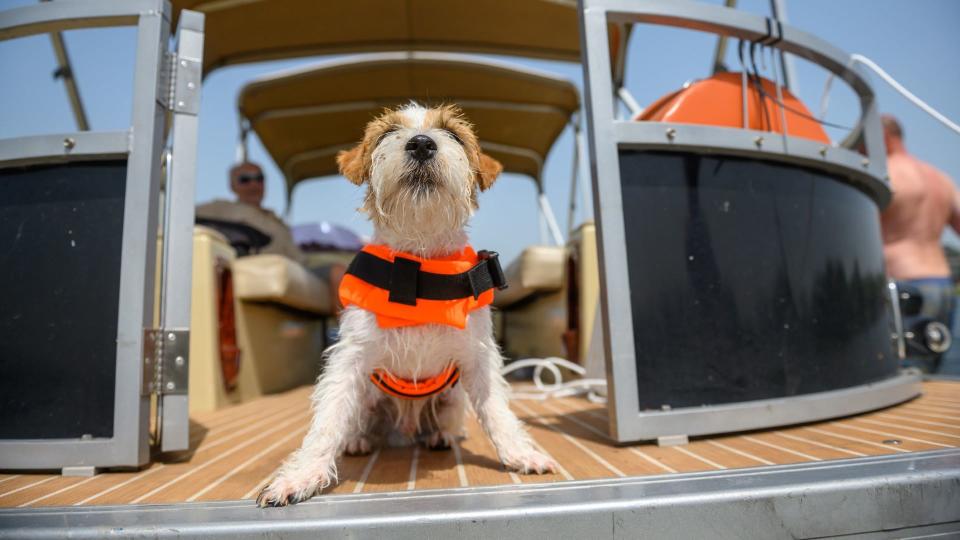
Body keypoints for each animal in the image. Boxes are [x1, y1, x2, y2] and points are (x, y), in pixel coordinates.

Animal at [258, 104, 560, 506]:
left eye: (453, 133)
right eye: (389, 132)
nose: (421, 143)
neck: (420, 262)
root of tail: (405, 428)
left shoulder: (478, 355)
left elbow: (496, 409)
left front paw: (520, 453)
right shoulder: (350, 357)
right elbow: (328, 419)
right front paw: (301, 476)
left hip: (452, 400)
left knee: (446, 422)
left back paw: (440, 436)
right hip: (369, 399)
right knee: (358, 423)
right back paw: (358, 441)